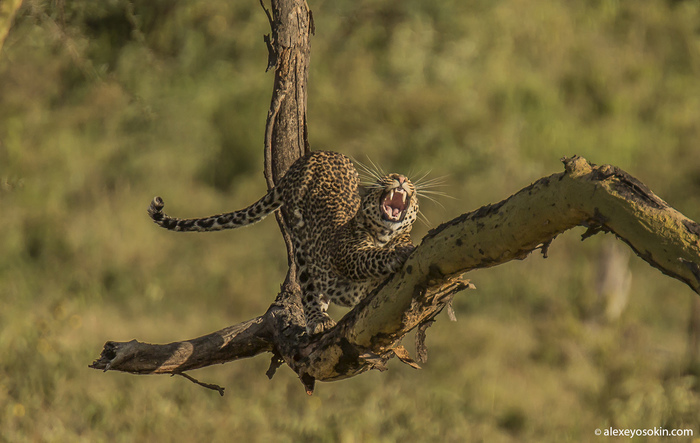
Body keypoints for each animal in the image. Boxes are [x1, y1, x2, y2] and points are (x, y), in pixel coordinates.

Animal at [147, 151, 418, 334]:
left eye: (412, 186)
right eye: (384, 179)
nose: (401, 177)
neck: (384, 234)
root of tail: (315, 155)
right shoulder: (348, 254)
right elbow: (370, 257)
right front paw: (400, 252)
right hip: (300, 242)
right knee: (308, 284)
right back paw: (317, 320)